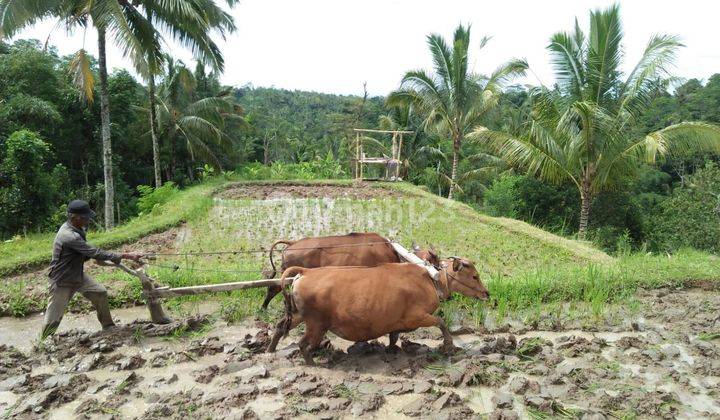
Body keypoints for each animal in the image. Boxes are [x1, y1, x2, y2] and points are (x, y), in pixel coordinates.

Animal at [266, 258, 490, 362]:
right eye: (475, 276)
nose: (487, 293)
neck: (429, 280)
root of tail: (306, 272)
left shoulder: (397, 322)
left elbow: (393, 336)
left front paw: (391, 350)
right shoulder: (417, 317)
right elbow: (441, 322)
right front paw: (449, 345)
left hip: (299, 315)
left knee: (280, 327)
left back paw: (269, 351)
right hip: (316, 324)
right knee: (304, 345)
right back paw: (312, 363)